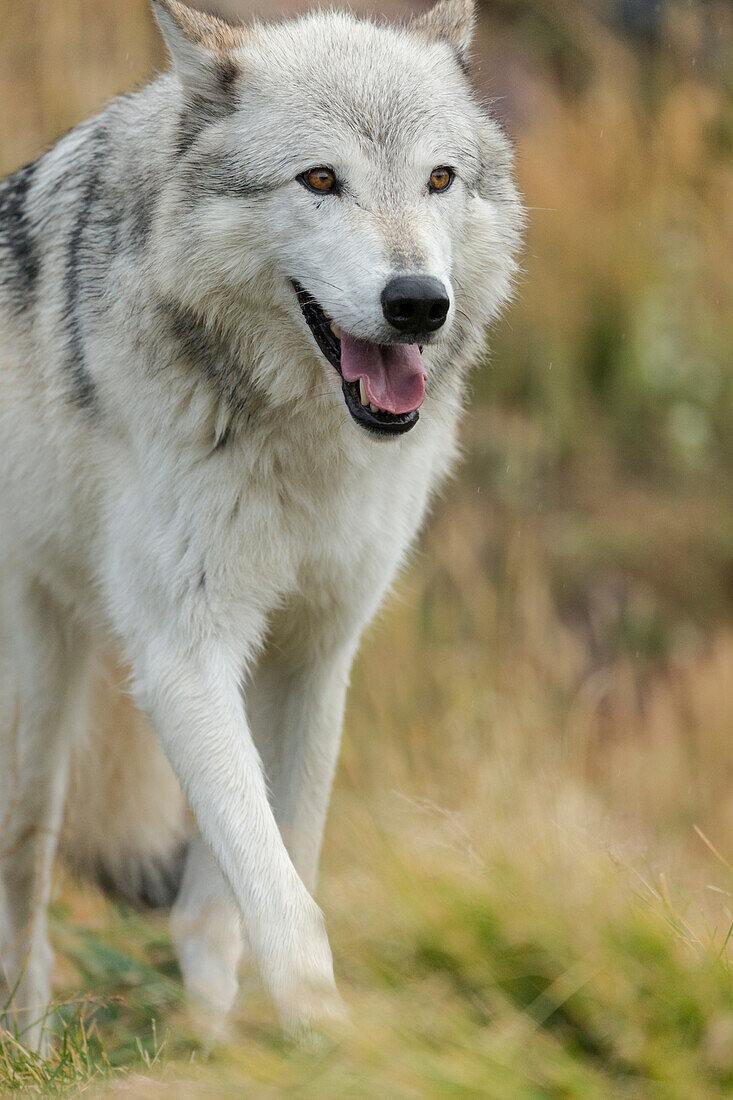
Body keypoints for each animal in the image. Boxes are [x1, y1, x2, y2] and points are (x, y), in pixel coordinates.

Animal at [0, 0, 519, 1047]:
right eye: (320, 180)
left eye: (438, 179)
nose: (417, 303)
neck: (299, 443)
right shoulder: (185, 656)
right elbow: (285, 907)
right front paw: (327, 1043)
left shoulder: (313, 653)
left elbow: (254, 885)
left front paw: (242, 1048)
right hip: (36, 713)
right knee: (24, 888)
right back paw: (28, 1050)